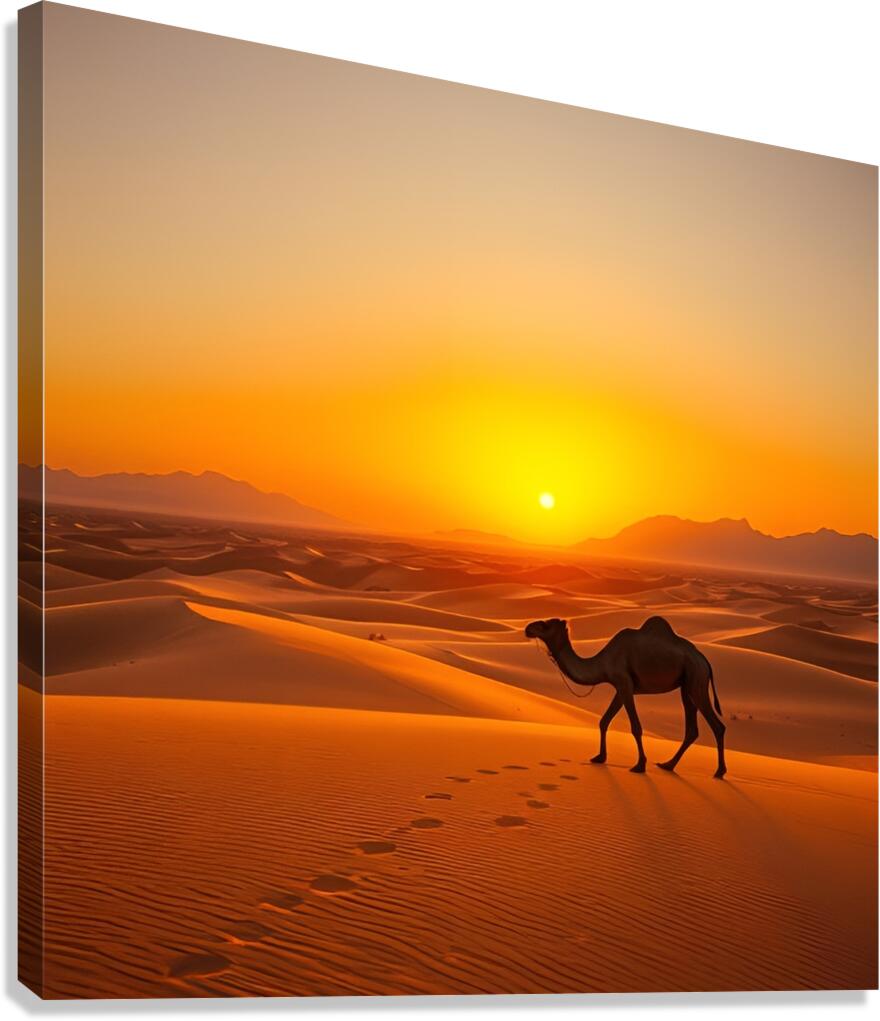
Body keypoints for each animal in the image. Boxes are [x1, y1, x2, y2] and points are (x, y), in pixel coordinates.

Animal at [525, 616, 726, 778]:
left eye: (545, 625)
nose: (528, 628)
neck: (603, 662)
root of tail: (704, 660)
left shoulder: (624, 684)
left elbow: (635, 727)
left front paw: (639, 765)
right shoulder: (620, 687)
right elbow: (604, 721)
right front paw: (600, 757)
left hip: (696, 678)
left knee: (717, 726)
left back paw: (719, 771)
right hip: (687, 685)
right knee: (692, 729)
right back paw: (668, 765)